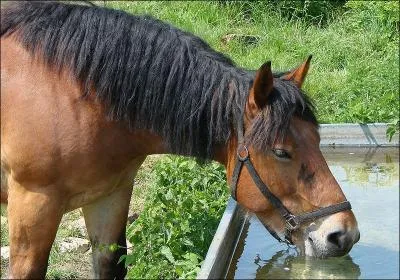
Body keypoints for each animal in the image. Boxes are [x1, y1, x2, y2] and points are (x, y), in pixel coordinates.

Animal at [0, 1, 360, 278]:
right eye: (281, 152)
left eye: (317, 139)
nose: (343, 234)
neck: (74, 94)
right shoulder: (34, 203)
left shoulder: (109, 195)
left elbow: (110, 264)